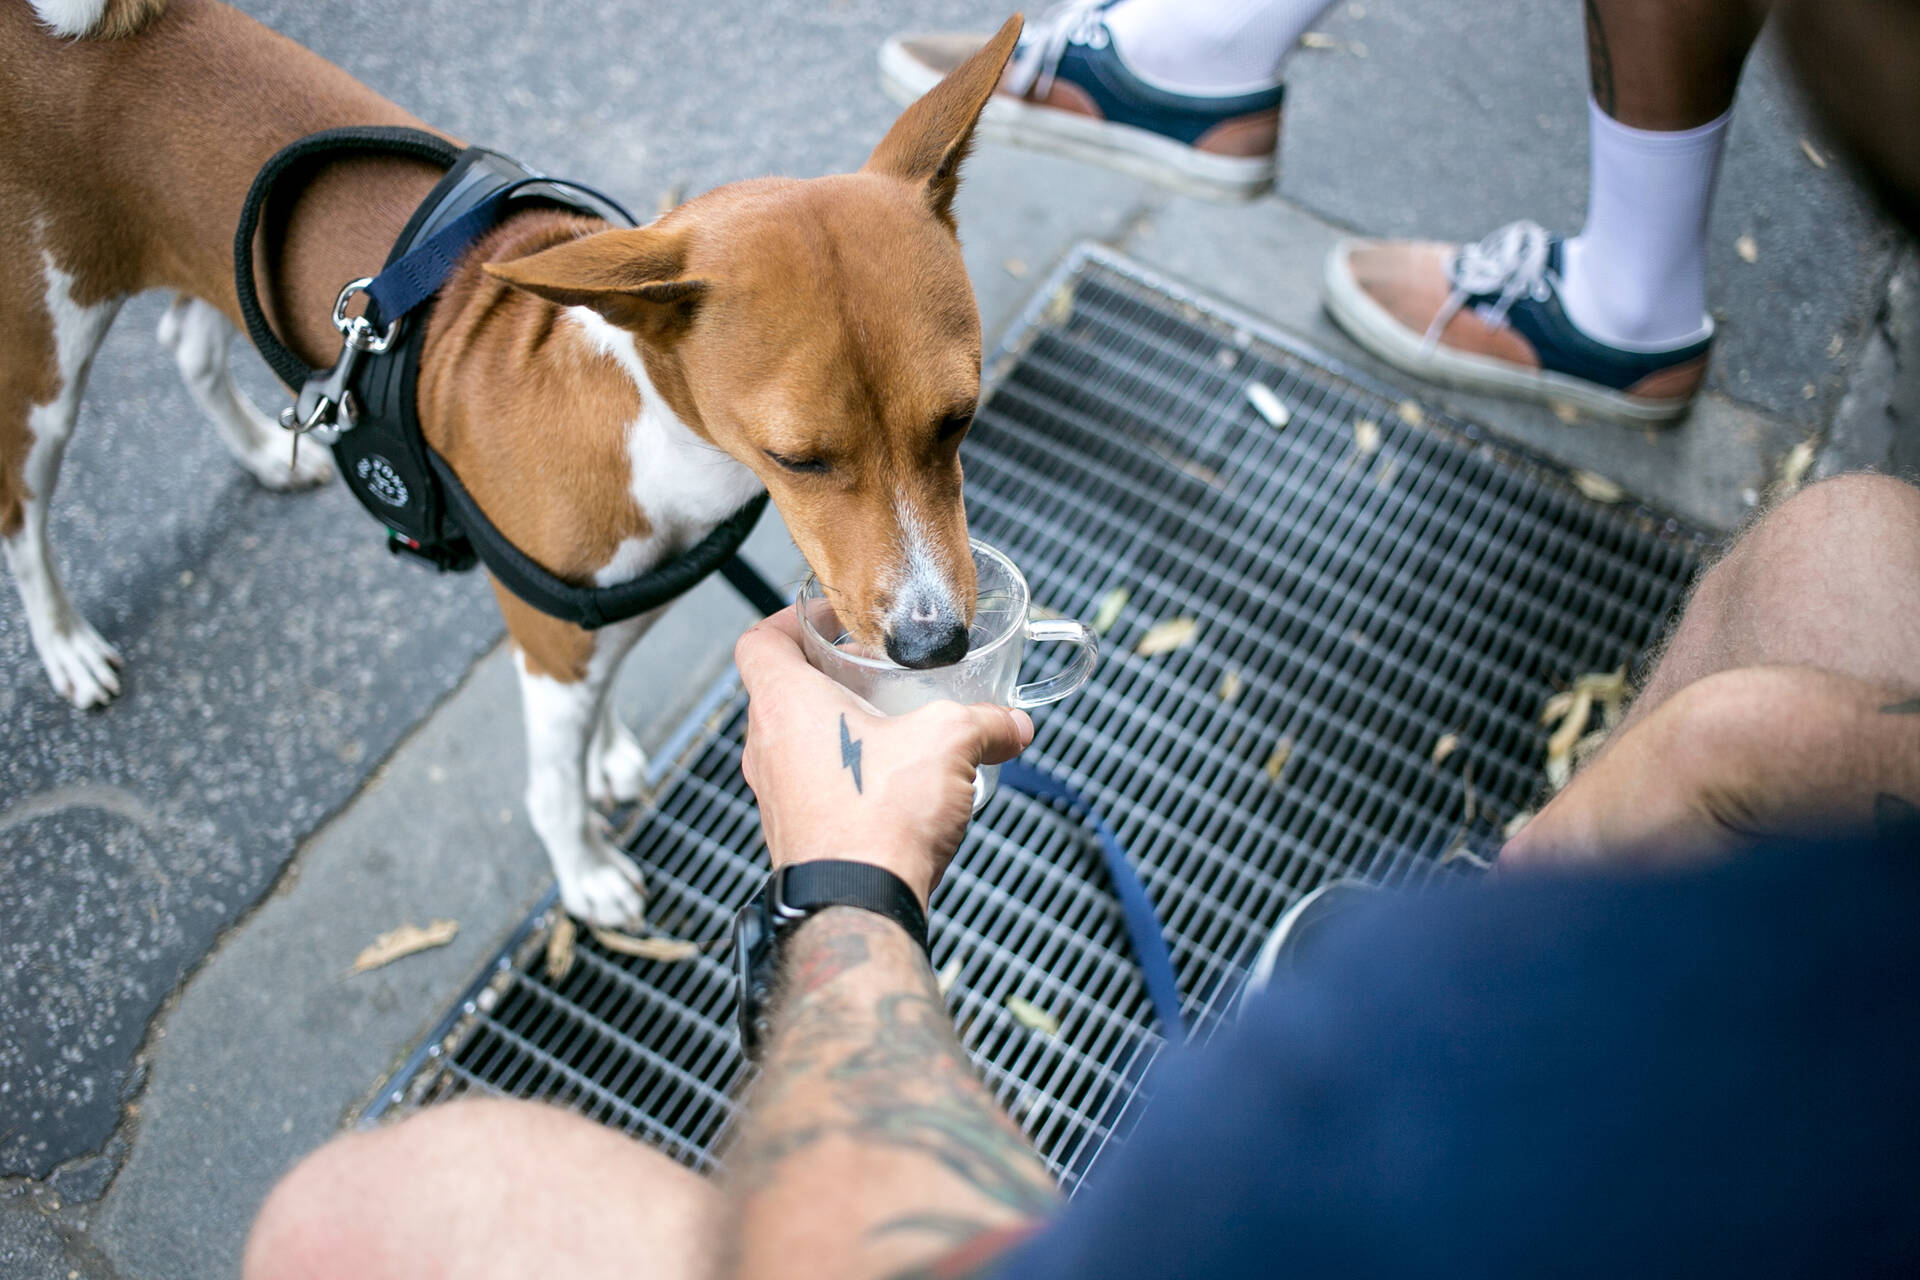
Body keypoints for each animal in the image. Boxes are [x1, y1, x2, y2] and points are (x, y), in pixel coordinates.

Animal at [7, 0, 1029, 924]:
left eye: (959, 419)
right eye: (799, 458)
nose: (936, 646)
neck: (649, 427)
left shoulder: (594, 620)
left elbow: (601, 702)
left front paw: (609, 751)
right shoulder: (547, 645)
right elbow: (550, 787)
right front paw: (584, 874)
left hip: (208, 265)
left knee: (186, 342)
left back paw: (266, 452)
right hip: (51, 357)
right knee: (24, 511)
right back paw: (66, 645)